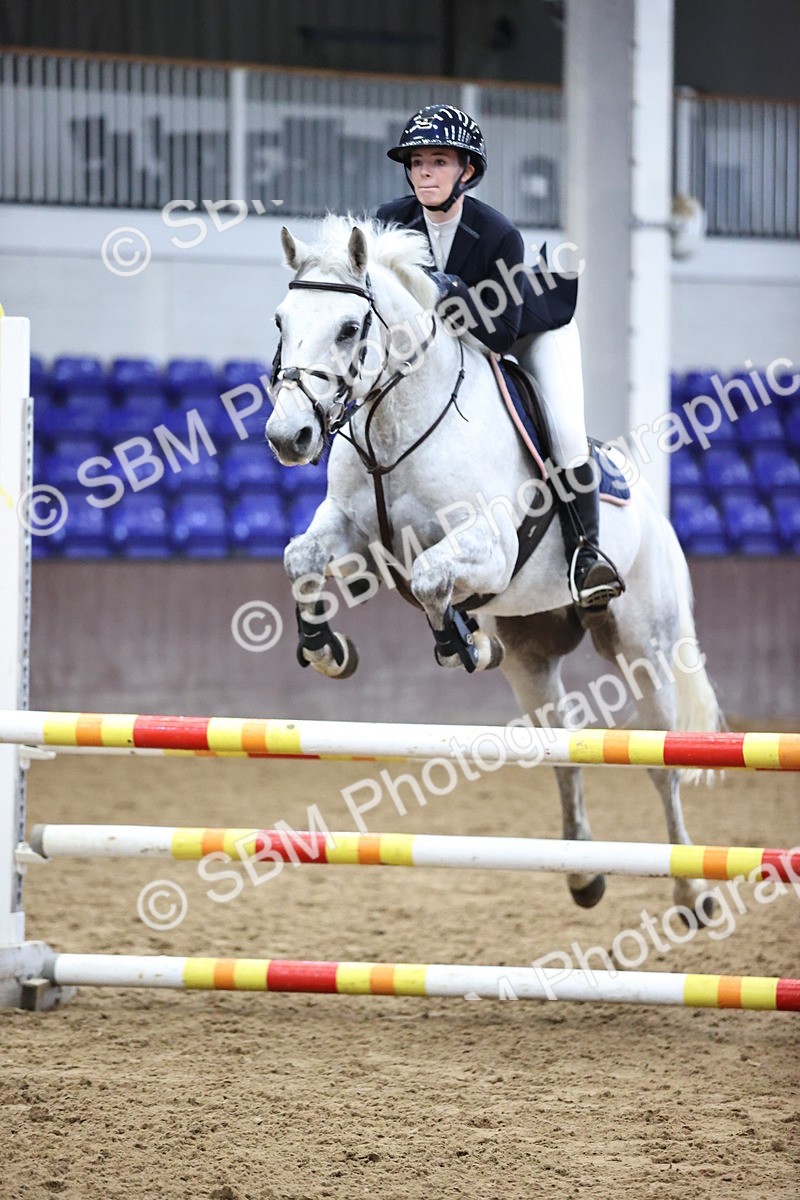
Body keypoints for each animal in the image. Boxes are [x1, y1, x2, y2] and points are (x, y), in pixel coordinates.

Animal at [265, 214, 722, 921]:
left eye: (348, 329)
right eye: (282, 321)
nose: (289, 437)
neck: (395, 422)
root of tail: (655, 510)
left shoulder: (491, 547)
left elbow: (432, 577)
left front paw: (462, 643)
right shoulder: (353, 532)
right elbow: (303, 558)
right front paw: (326, 648)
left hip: (642, 646)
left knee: (660, 759)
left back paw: (692, 889)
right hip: (535, 656)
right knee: (563, 748)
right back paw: (583, 874)